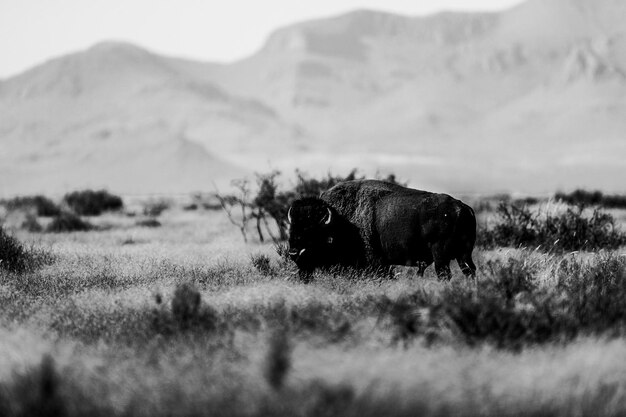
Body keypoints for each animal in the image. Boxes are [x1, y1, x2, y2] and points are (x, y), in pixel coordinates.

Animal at [286, 180, 472, 280]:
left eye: (312, 231)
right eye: (292, 228)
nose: (294, 253)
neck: (340, 220)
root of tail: (462, 208)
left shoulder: (374, 263)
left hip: (441, 256)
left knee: (444, 274)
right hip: (464, 254)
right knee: (469, 271)